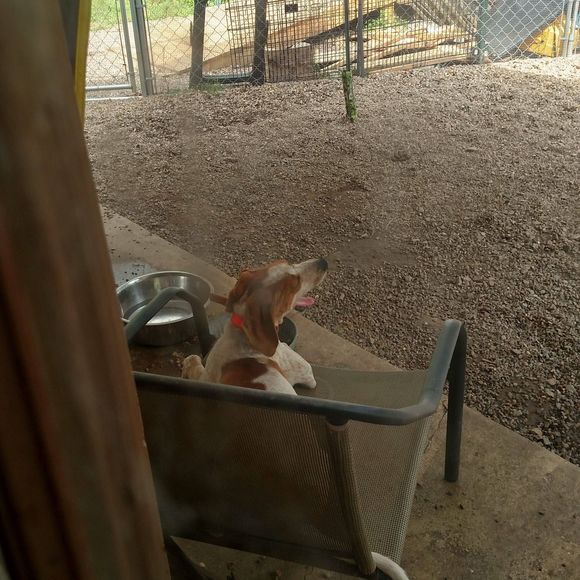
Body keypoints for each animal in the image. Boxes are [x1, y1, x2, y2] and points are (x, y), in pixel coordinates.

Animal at [181, 258, 328, 395]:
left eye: (287, 263)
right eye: (296, 283)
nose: (323, 262)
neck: (243, 335)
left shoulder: (206, 378)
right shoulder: (306, 371)